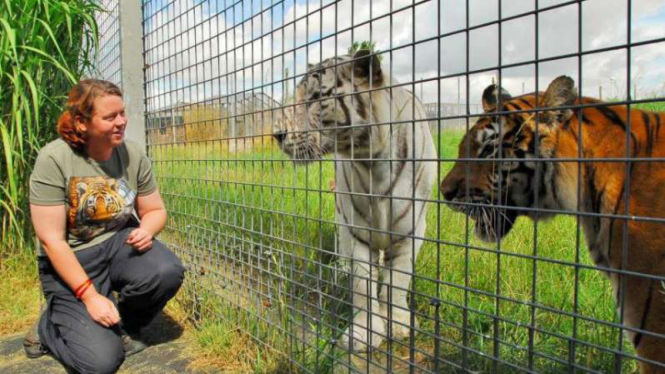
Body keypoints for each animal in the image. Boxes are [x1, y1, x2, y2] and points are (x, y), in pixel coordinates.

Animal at [272, 49, 438, 350]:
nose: (277, 134)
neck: (374, 163)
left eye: (317, 97)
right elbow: (362, 284)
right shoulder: (358, 229)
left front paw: (398, 324)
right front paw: (364, 333)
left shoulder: (411, 231)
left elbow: (399, 279)